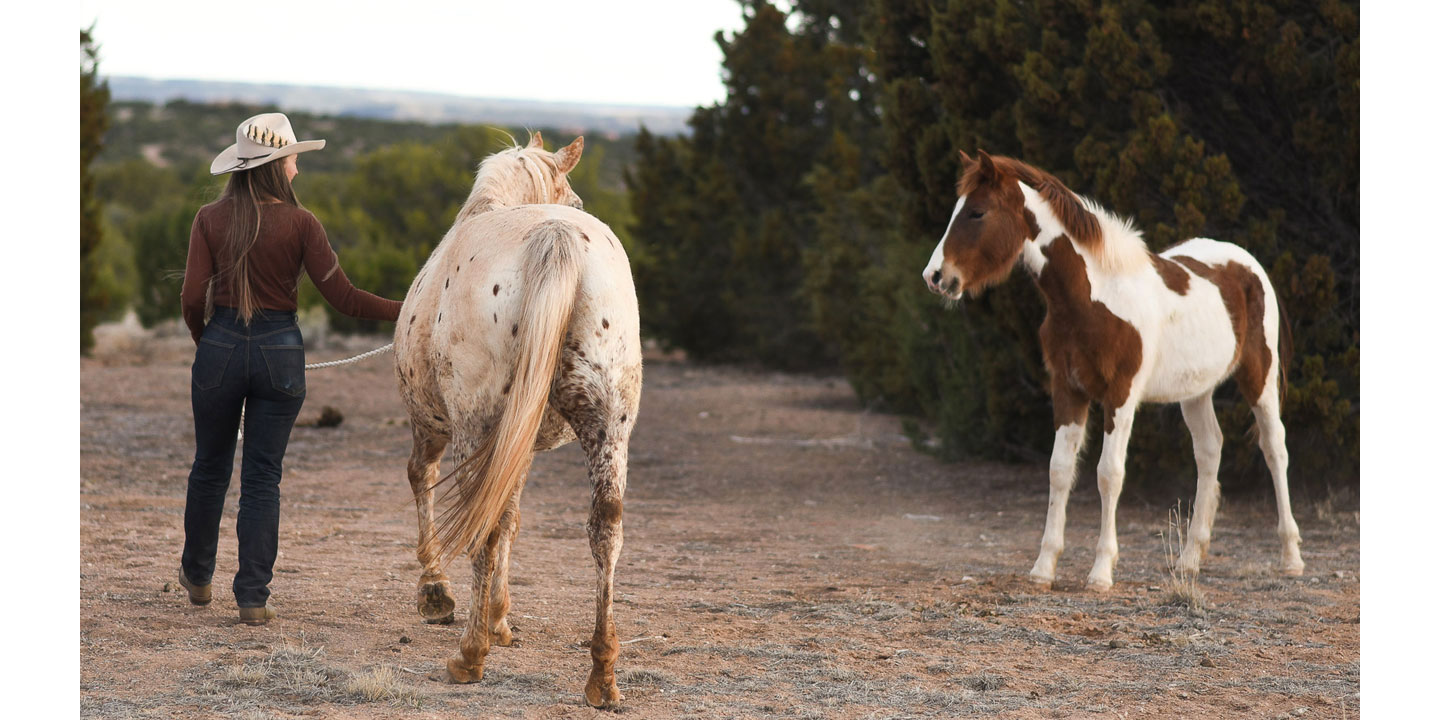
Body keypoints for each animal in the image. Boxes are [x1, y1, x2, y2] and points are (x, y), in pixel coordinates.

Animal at [394, 131, 642, 702]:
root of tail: (555, 235)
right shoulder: (520, 442)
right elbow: (510, 516)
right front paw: (499, 617)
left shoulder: (437, 425)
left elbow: (430, 484)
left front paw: (441, 595)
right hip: (608, 426)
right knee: (606, 527)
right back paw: (602, 674)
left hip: (472, 425)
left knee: (474, 518)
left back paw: (469, 655)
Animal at [921, 150, 1307, 590]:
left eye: (977, 212)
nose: (935, 277)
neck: (1092, 298)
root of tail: (1249, 265)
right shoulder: (1067, 390)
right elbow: (1059, 470)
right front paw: (1043, 568)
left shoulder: (1119, 395)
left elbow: (1109, 473)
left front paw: (1101, 572)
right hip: (1195, 391)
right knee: (1209, 451)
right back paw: (1189, 560)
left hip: (1260, 376)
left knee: (1274, 447)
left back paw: (1291, 557)